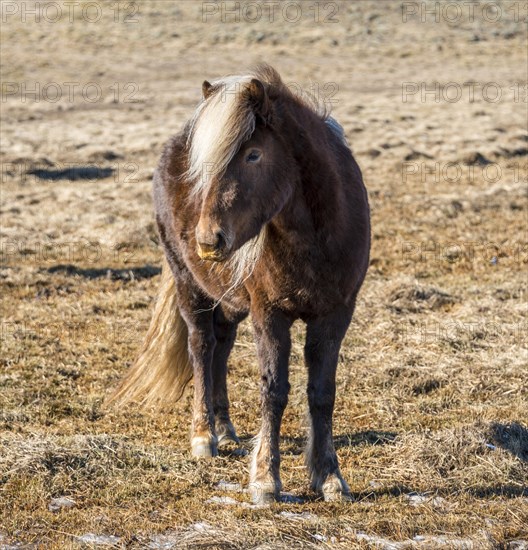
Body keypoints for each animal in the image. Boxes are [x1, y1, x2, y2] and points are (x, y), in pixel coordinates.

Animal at [114, 64, 372, 504]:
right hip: (191, 287)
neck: (317, 240)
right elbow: (274, 390)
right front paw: (266, 480)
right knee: (202, 348)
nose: (207, 240)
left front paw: (329, 477)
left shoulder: (335, 315)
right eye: (206, 165)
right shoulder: (269, 315)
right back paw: (204, 436)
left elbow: (322, 393)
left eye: (254, 154)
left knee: (221, 348)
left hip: (231, 302)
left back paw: (225, 429)